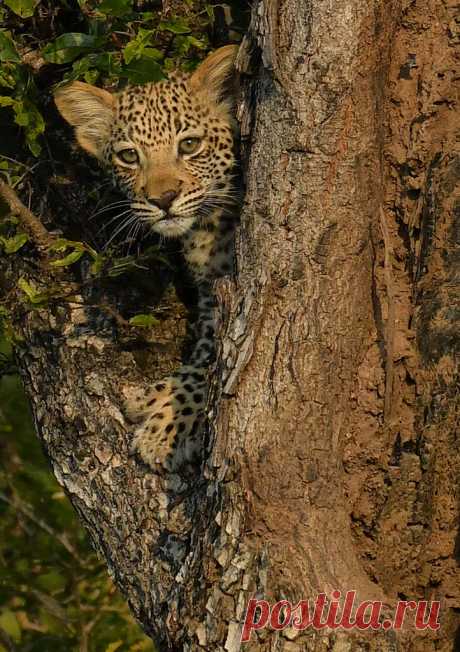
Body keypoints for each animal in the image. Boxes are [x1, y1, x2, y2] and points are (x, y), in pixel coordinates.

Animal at [54, 45, 239, 472]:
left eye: (189, 145)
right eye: (128, 156)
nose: (163, 199)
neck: (207, 229)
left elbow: (212, 360)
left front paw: (166, 427)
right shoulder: (211, 293)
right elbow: (207, 349)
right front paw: (158, 396)